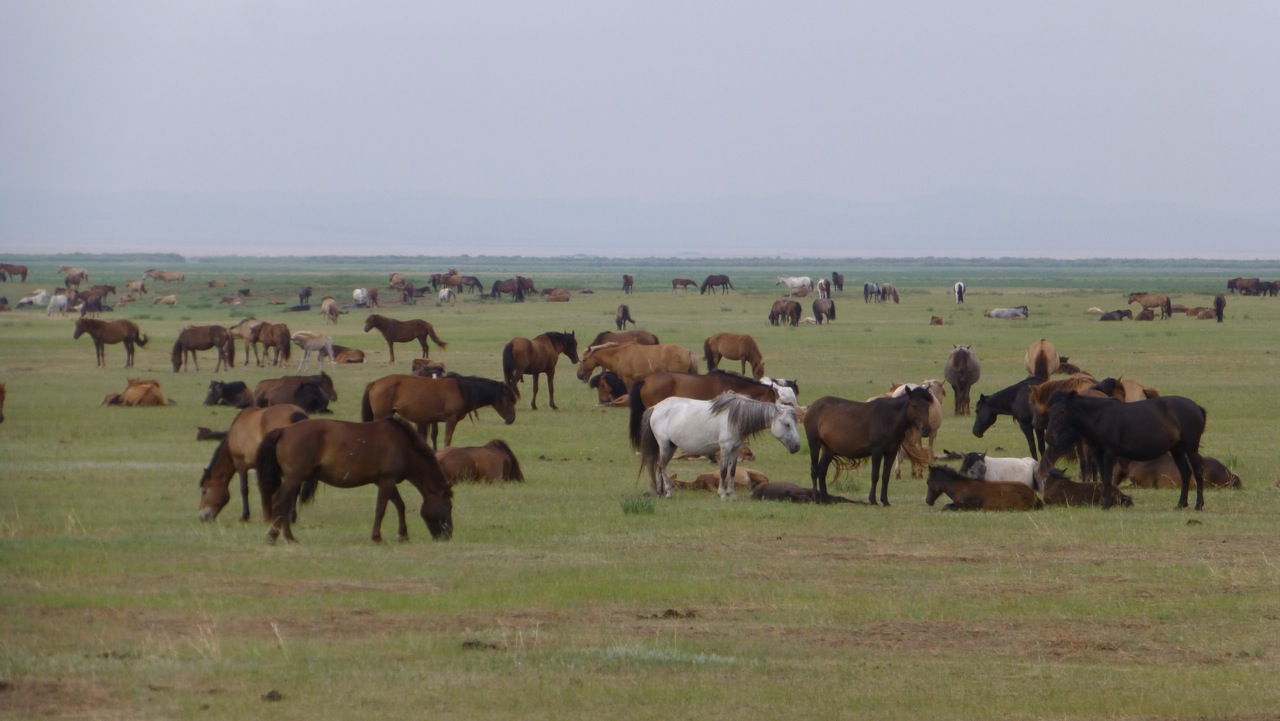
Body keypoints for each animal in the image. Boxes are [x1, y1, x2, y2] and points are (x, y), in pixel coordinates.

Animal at [255, 418, 454, 543]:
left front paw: (402, 535)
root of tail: (283, 430)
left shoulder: (385, 482)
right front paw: (377, 537)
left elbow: (400, 505)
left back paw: (287, 537)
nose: (448, 534)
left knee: (285, 505)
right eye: (449, 507)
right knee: (280, 502)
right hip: (293, 478)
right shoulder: (387, 481)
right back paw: (275, 536)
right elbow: (381, 509)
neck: (403, 445)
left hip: (294, 480)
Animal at [361, 373, 519, 448]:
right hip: (382, 415)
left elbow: (434, 436)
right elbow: (447, 439)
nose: (512, 419)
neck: (462, 390)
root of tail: (374, 383)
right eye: (509, 399)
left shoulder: (433, 420)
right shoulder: (451, 419)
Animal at [638, 393, 802, 499]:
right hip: (665, 445)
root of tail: (655, 407)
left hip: (671, 447)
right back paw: (668, 492)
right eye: (787, 424)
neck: (736, 418)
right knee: (662, 466)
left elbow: (732, 471)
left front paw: (731, 493)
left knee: (659, 466)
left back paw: (660, 492)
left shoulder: (735, 449)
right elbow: (723, 471)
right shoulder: (725, 448)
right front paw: (722, 493)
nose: (797, 446)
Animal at [805, 387, 935, 505]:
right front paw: (873, 500)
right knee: (814, 471)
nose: (926, 430)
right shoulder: (877, 451)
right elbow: (875, 475)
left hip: (828, 449)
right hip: (814, 444)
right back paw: (816, 499)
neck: (889, 418)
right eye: (914, 406)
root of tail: (812, 406)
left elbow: (885, 476)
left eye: (928, 406)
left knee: (822, 472)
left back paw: (825, 499)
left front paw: (885, 501)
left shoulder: (891, 452)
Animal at [1038, 391, 1209, 510]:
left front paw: (1107, 504)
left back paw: (1198, 505)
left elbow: (1107, 477)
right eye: (1050, 410)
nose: (1049, 437)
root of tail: (1197, 408)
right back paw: (1181, 504)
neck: (1099, 417)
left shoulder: (1109, 453)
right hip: (1177, 449)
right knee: (1185, 472)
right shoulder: (1099, 453)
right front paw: (1107, 501)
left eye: (1062, 411)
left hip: (1191, 449)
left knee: (1198, 473)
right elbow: (1104, 478)